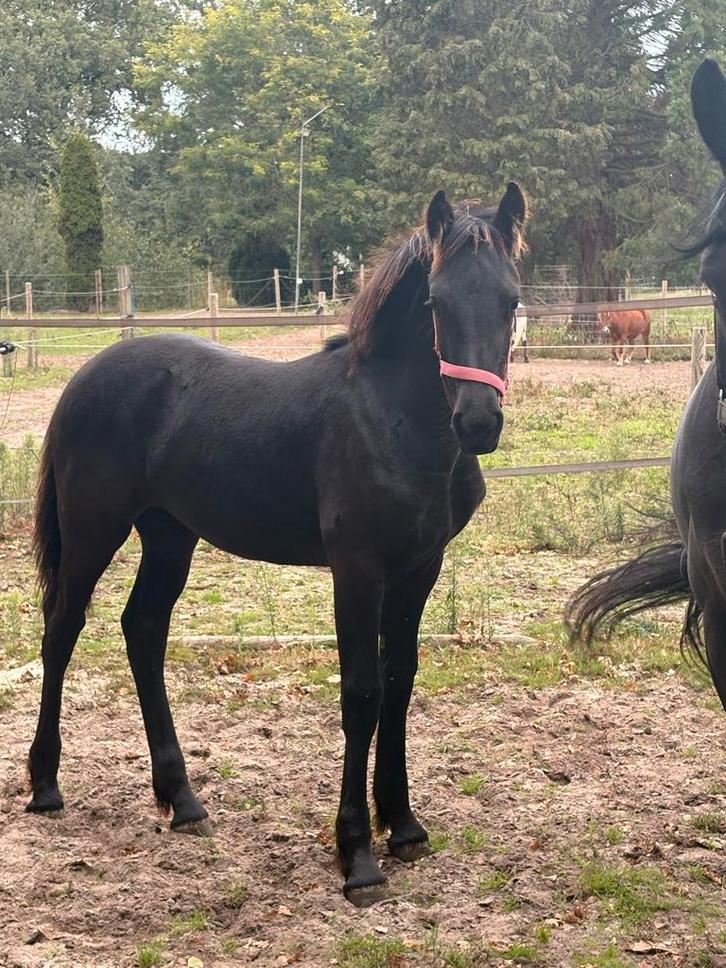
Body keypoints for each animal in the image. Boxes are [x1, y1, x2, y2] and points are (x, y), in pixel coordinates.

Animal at [25, 184, 528, 906]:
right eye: (436, 302)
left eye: (511, 300)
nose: (479, 423)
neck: (394, 420)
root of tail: (86, 375)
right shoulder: (357, 570)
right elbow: (362, 694)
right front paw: (357, 856)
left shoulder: (419, 567)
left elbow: (400, 682)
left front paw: (403, 826)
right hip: (96, 530)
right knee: (62, 631)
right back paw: (45, 785)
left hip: (170, 535)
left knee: (142, 630)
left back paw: (183, 800)